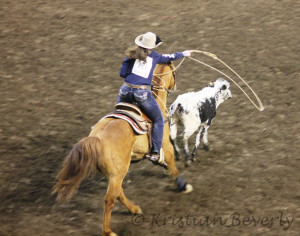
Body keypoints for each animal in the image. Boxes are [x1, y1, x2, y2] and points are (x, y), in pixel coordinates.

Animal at [51, 62, 192, 236]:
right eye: (174, 74)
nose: (175, 86)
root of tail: (98, 139)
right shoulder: (166, 146)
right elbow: (174, 168)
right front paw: (183, 186)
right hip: (118, 174)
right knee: (109, 199)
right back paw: (108, 231)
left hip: (114, 175)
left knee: (118, 193)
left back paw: (134, 209)